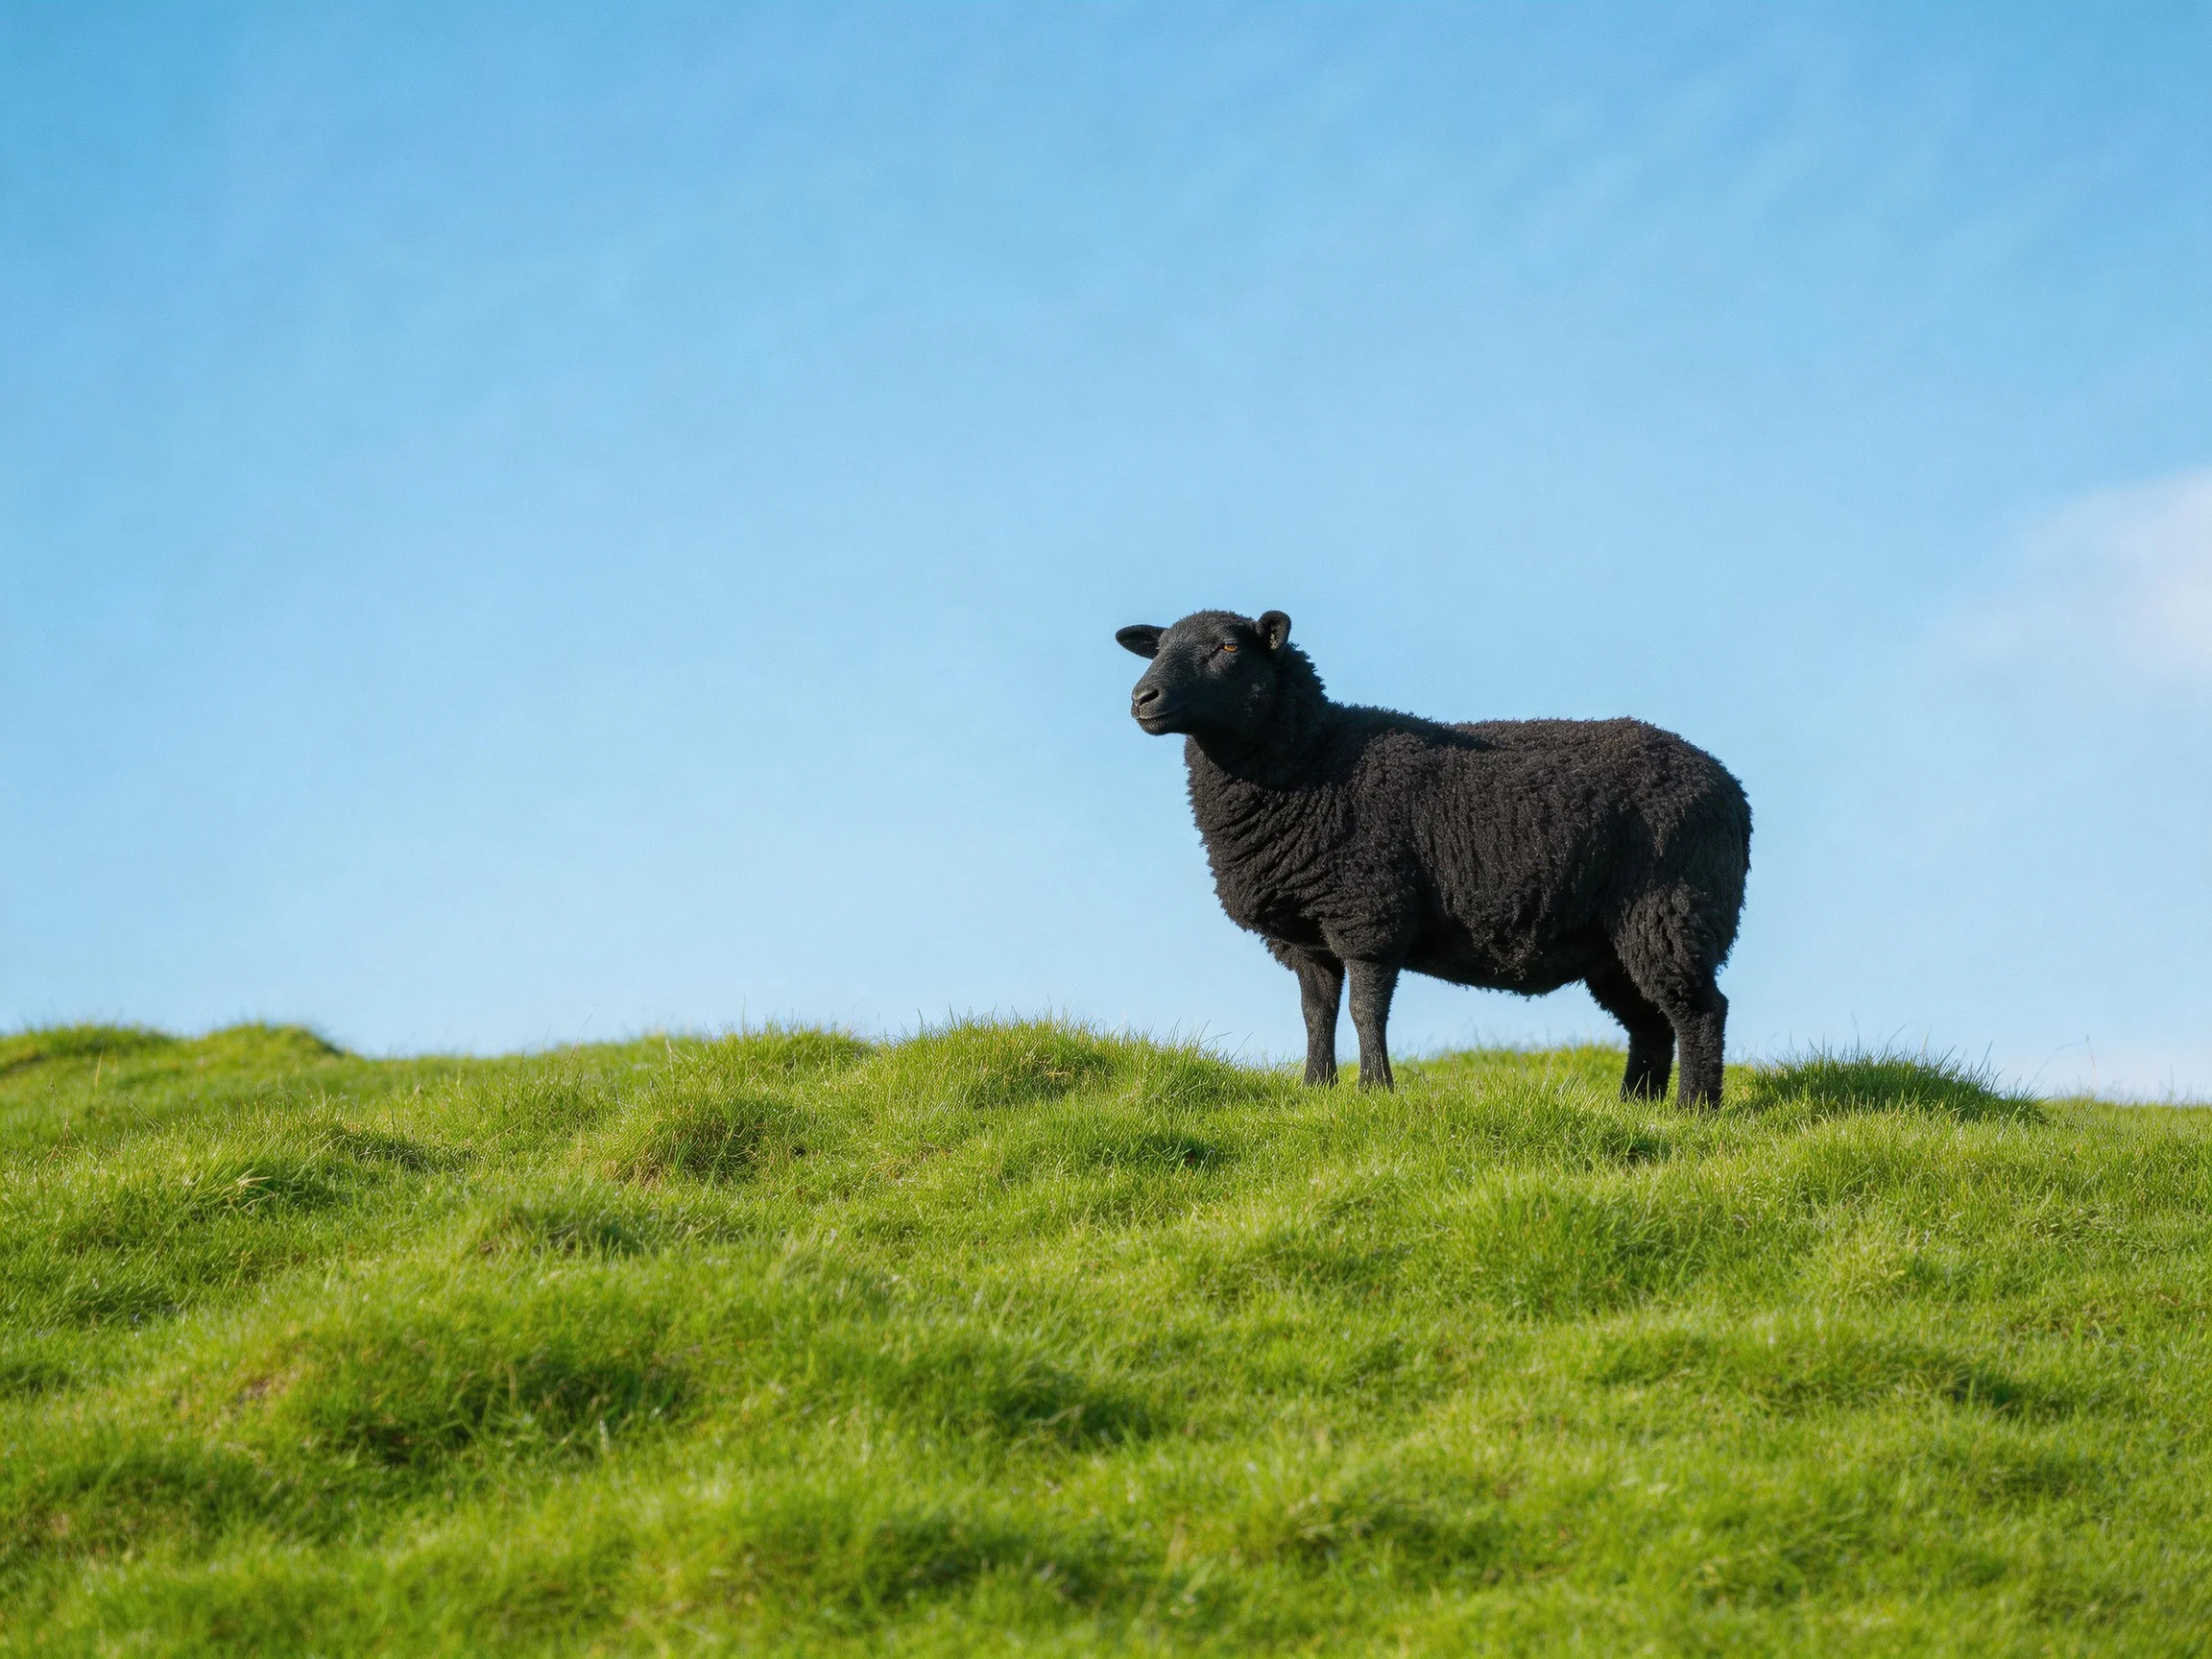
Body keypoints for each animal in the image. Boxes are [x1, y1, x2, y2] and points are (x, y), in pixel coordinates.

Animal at [1115, 609, 1751, 1105]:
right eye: (1160, 647)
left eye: (1227, 647)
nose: (1142, 698)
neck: (1315, 757)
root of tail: (1730, 788)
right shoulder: (1307, 932)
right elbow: (1315, 1012)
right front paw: (1316, 1091)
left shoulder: (1368, 910)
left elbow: (1365, 1009)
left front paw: (1375, 1091)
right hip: (1614, 940)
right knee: (1651, 1022)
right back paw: (1636, 1107)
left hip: (1670, 907)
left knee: (1699, 1011)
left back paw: (1694, 1110)